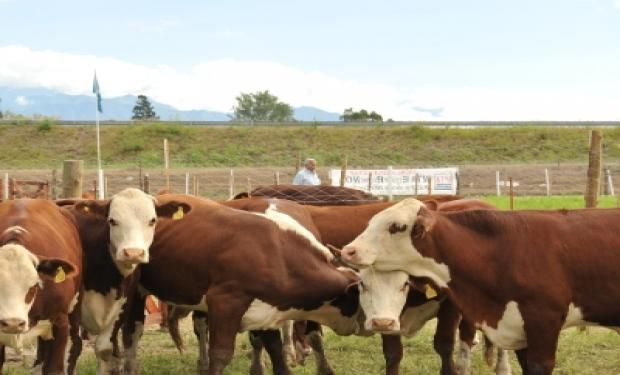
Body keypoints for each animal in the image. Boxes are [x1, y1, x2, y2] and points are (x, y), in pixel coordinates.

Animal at [58, 189, 190, 374]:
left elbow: (105, 348)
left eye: (152, 220)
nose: (133, 252)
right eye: (112, 221)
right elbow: (70, 350)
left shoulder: (123, 303)